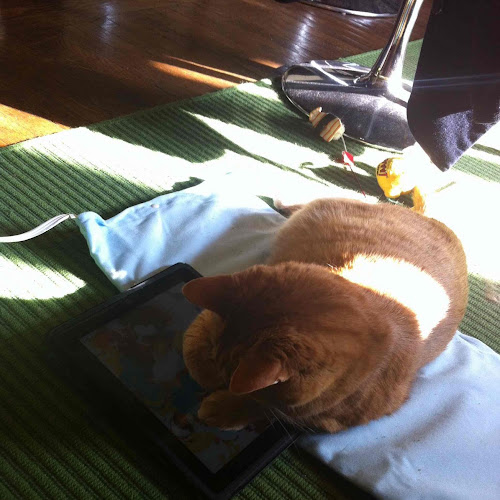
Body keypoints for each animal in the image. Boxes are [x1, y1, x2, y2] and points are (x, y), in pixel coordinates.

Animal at [181, 198, 468, 433]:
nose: (222, 379)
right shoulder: (209, 316)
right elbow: (193, 347)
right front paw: (207, 373)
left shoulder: (325, 420)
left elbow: (268, 409)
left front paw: (225, 404)